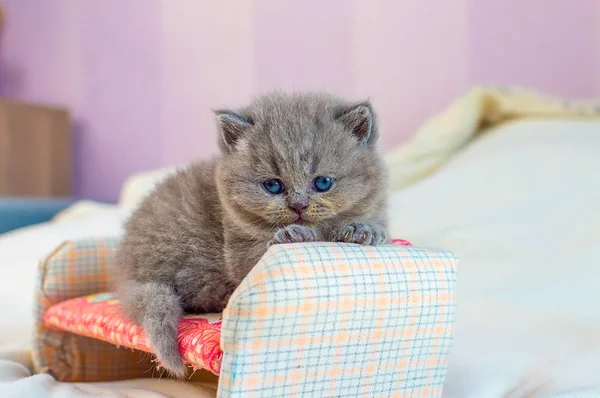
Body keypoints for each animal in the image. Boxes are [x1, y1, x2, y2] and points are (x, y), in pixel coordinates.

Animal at [112, 91, 390, 378]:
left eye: (323, 182)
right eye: (273, 186)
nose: (298, 205)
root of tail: (126, 272)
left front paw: (362, 231)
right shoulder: (238, 247)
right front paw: (293, 235)